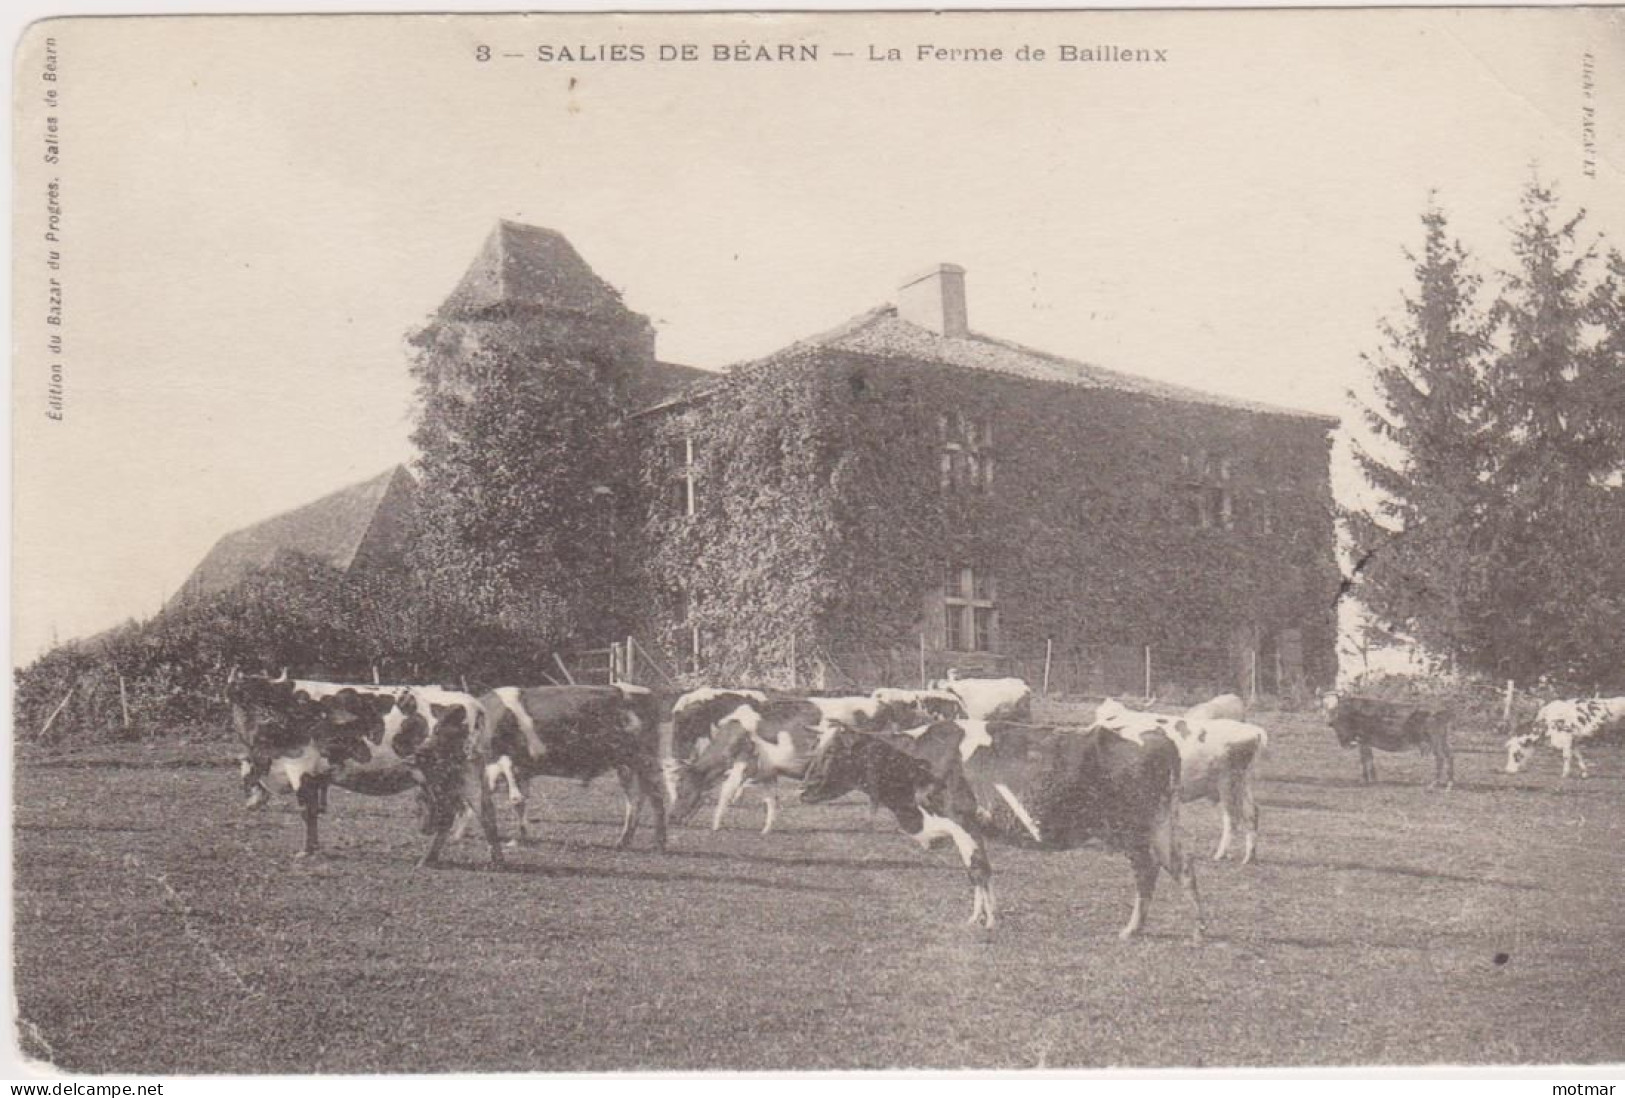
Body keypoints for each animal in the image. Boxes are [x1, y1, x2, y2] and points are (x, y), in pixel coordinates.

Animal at [225, 669, 497, 864]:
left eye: (259, 699)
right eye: (242, 699)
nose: (267, 721)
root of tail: (471, 703)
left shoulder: (300, 769)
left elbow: (306, 811)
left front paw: (306, 851)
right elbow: (314, 810)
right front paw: (312, 848)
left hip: (439, 773)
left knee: (448, 814)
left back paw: (426, 859)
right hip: (468, 771)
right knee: (485, 809)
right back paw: (497, 861)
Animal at [799, 721, 1209, 935]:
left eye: (835, 752)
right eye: (815, 749)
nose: (803, 788)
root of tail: (1157, 734)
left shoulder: (961, 820)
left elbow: (978, 871)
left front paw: (989, 921)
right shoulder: (972, 829)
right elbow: (979, 873)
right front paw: (978, 916)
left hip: (1133, 829)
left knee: (1147, 872)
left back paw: (1132, 929)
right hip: (1162, 825)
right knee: (1183, 867)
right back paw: (1198, 928)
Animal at [1092, 698, 1267, 864]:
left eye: (1109, 718)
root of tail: (1254, 731)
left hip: (1227, 782)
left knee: (1232, 818)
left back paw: (1220, 854)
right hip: (1243, 784)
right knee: (1252, 813)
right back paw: (1249, 857)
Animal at [1326, 695, 1456, 789]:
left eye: (1339, 712)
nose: (1329, 722)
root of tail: (1444, 709)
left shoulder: (1364, 740)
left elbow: (1365, 760)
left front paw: (1365, 780)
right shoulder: (1365, 741)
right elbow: (1368, 759)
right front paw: (1372, 779)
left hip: (1434, 739)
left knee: (1440, 758)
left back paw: (1433, 784)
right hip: (1442, 738)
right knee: (1449, 756)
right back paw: (1449, 784)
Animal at [1495, 698, 1625, 776]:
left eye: (1516, 753)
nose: (1508, 770)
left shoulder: (1566, 738)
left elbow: (1566, 756)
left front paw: (1565, 774)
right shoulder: (1573, 741)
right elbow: (1578, 756)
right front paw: (1584, 773)